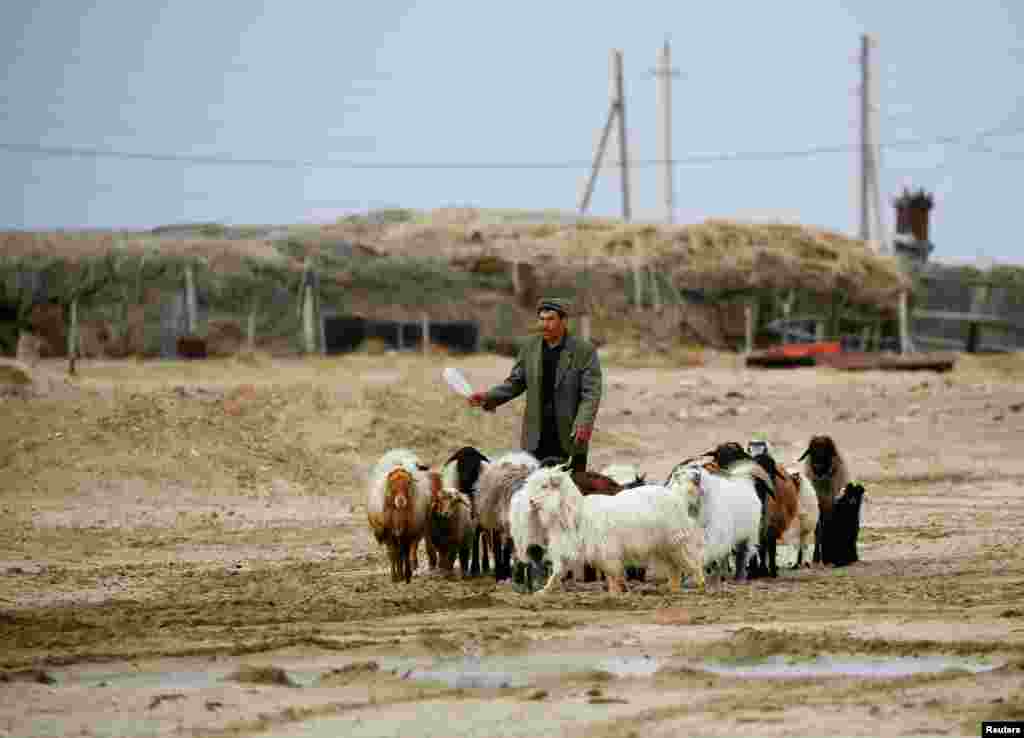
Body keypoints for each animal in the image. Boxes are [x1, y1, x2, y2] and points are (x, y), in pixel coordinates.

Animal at [368, 446, 432, 585]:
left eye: (408, 483)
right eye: (391, 484)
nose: (401, 501)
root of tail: (399, 450)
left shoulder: (408, 532)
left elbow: (405, 553)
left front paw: (406, 575)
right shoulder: (388, 532)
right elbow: (393, 554)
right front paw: (395, 577)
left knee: (404, 552)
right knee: (397, 553)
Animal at [520, 466, 704, 593]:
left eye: (545, 486)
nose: (530, 502)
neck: (578, 513)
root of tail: (676, 496)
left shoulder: (608, 551)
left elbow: (612, 575)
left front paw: (616, 593)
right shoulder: (573, 549)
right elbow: (557, 572)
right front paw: (543, 592)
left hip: (677, 540)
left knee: (693, 561)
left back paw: (700, 585)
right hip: (664, 546)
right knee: (674, 568)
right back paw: (673, 589)